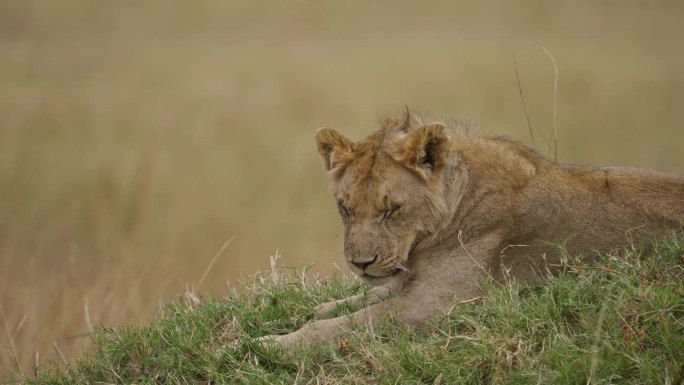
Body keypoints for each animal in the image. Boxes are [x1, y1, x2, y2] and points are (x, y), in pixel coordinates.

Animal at [258, 109, 684, 346]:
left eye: (391, 210)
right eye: (345, 209)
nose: (359, 264)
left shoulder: (434, 305)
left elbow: (344, 325)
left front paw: (273, 343)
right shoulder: (407, 282)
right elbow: (360, 299)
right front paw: (320, 307)